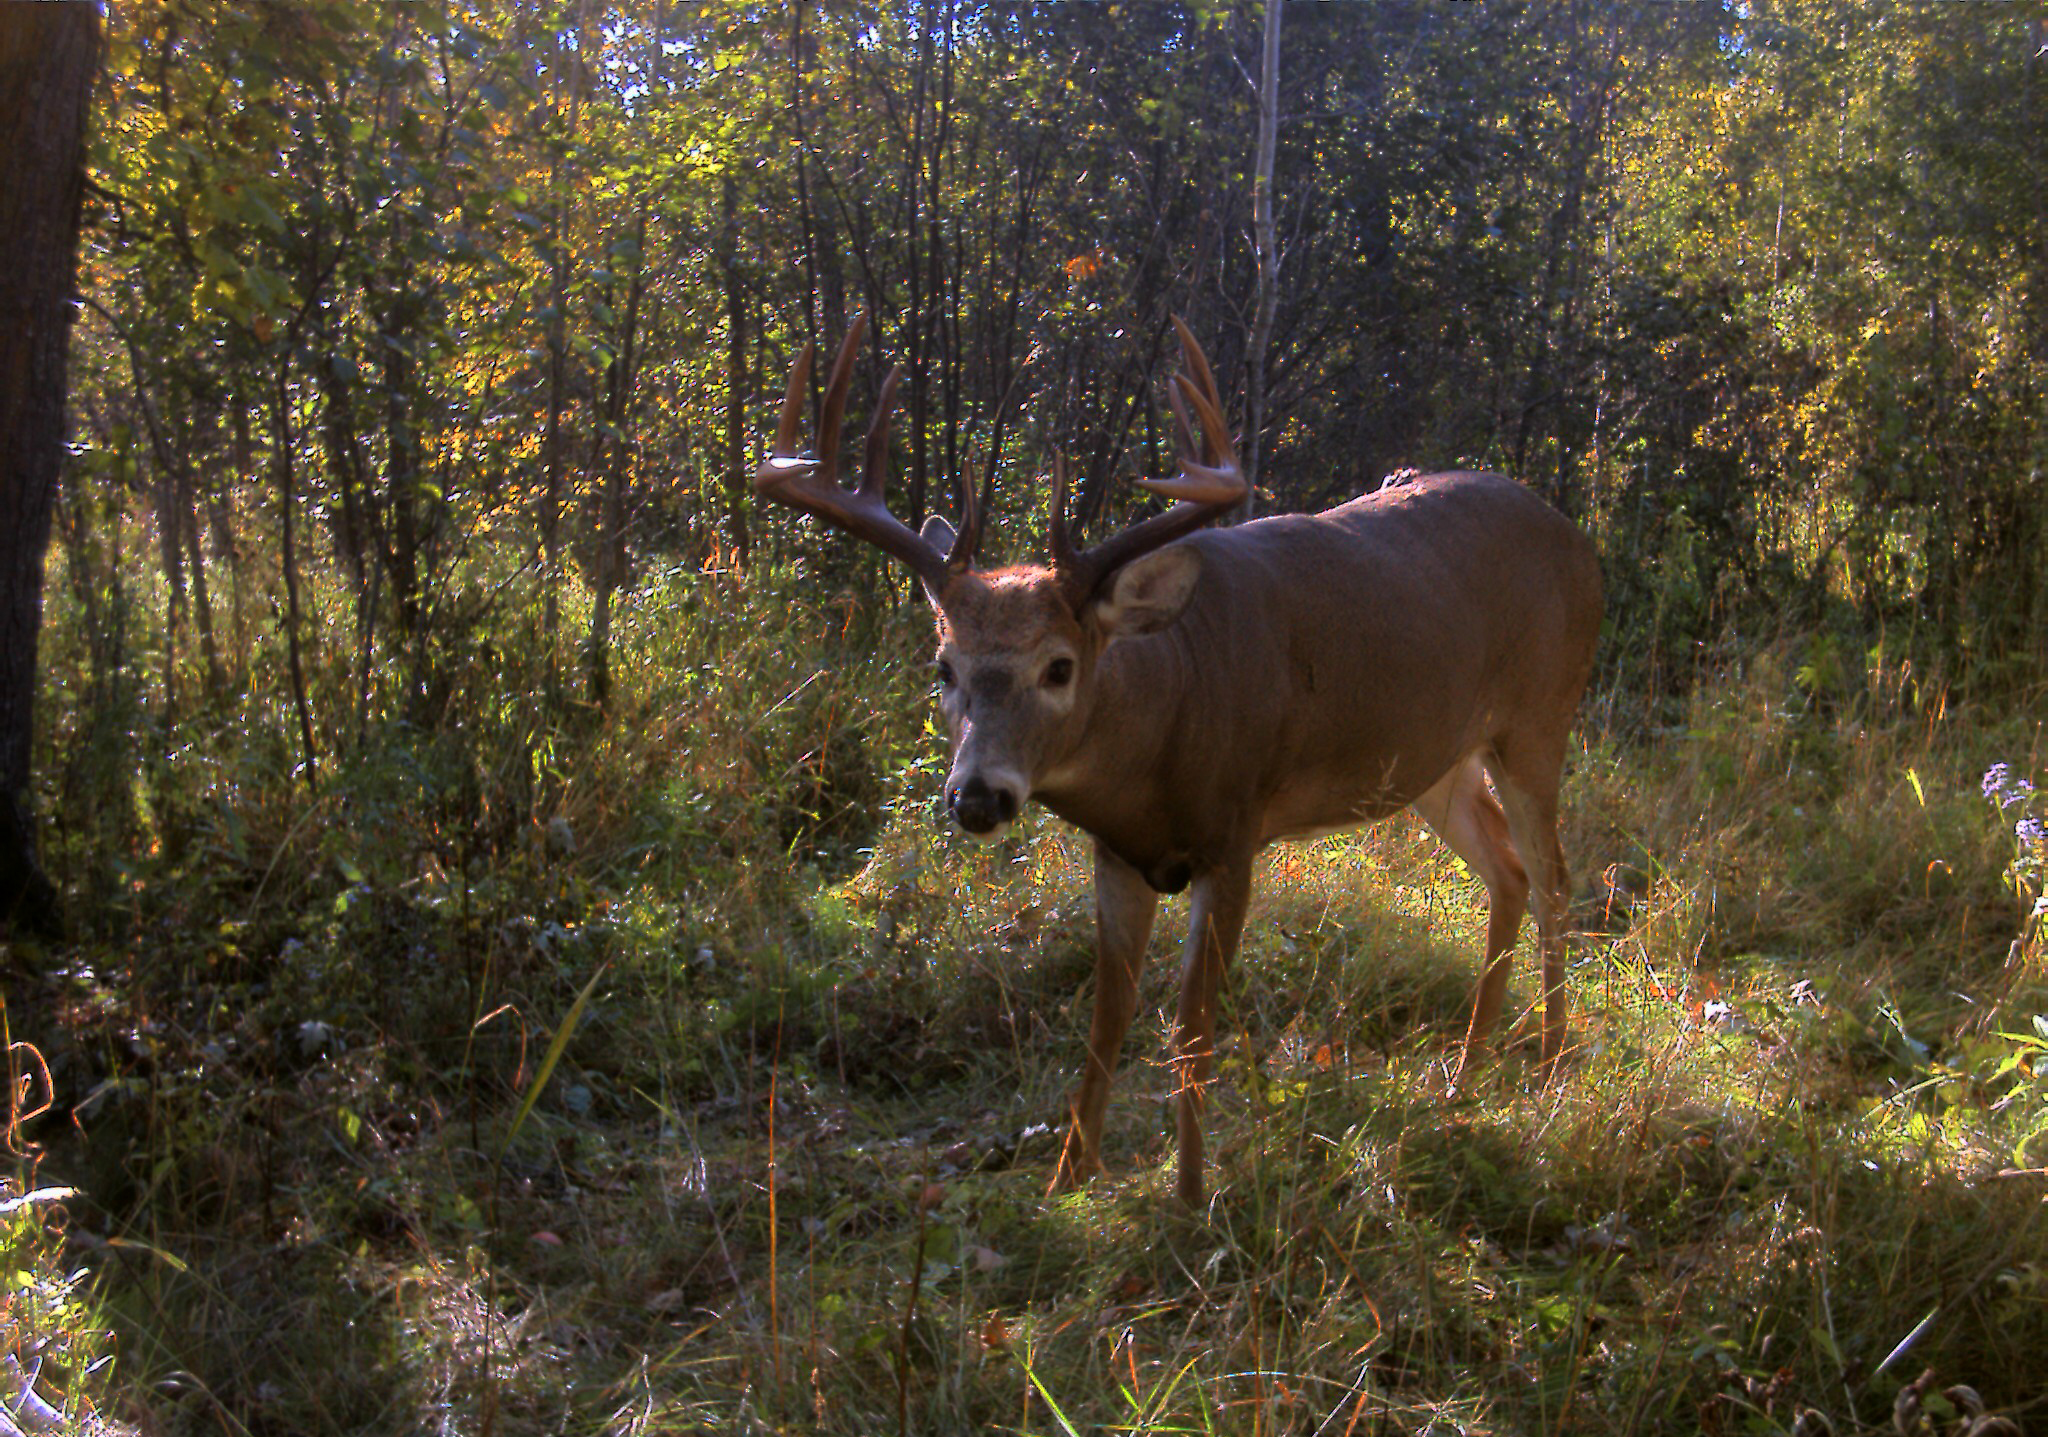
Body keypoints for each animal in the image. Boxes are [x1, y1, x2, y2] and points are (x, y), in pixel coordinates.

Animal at [753, 315, 1597, 1203]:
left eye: (1059, 666)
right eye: (943, 667)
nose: (978, 797)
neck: (1162, 736)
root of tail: (1578, 542)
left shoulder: (1234, 836)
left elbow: (1192, 1025)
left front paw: (1190, 1194)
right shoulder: (1118, 857)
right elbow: (1106, 1018)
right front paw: (1068, 1177)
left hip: (1539, 716)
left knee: (1555, 876)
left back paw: (1548, 1067)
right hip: (1435, 762)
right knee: (1506, 869)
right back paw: (1466, 1076)